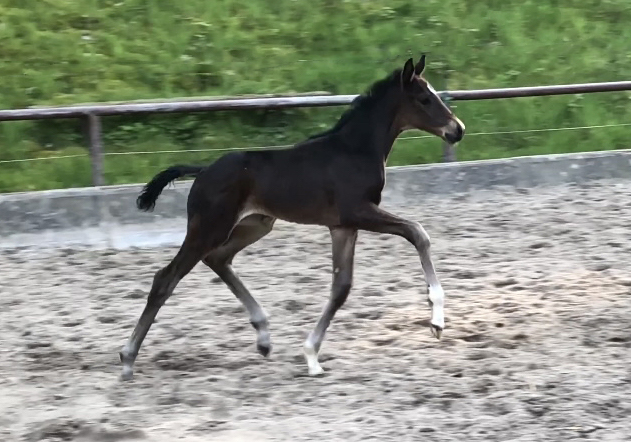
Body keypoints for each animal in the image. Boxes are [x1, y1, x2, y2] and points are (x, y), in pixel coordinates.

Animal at [119, 56, 464, 380]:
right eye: (424, 99)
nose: (457, 130)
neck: (354, 151)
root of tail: (202, 170)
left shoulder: (342, 226)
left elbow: (341, 287)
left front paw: (311, 356)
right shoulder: (358, 212)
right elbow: (417, 232)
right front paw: (436, 318)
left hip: (255, 225)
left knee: (218, 259)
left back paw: (263, 336)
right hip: (209, 228)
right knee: (166, 278)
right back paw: (127, 359)